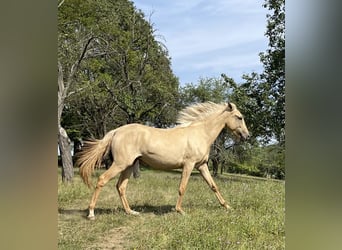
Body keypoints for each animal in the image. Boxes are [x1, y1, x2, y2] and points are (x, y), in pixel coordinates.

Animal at [77, 101, 248, 219]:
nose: (247, 136)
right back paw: (91, 213)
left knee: (121, 187)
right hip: (120, 164)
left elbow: (213, 186)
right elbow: (182, 187)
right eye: (239, 117)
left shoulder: (202, 166)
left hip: (129, 166)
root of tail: (117, 131)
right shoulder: (189, 165)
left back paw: (131, 212)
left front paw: (227, 207)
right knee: (102, 180)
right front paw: (180, 211)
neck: (201, 133)